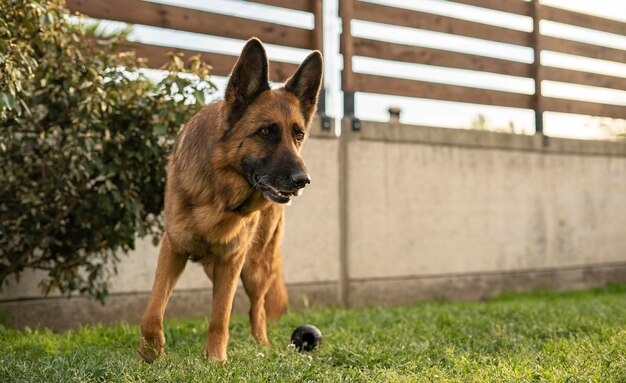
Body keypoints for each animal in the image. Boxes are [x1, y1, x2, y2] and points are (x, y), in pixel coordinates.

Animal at [137, 39, 322, 364]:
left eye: (298, 135)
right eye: (266, 131)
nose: (303, 180)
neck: (218, 193)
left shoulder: (232, 259)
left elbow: (220, 317)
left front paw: (215, 360)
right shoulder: (173, 248)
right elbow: (153, 311)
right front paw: (150, 355)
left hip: (254, 267)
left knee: (257, 309)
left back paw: (263, 346)